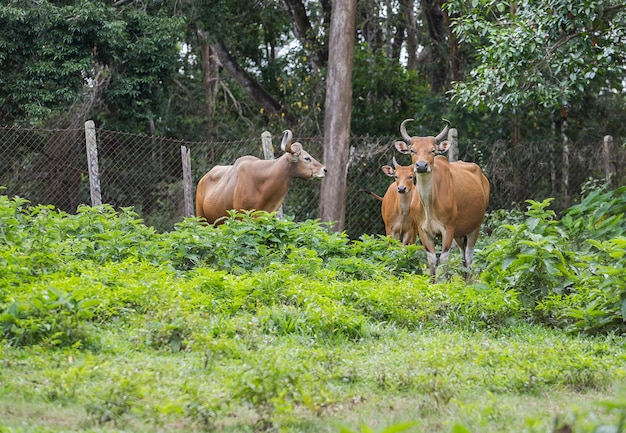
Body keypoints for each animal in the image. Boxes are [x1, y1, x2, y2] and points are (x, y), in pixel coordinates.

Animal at [394, 118, 488, 278]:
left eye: (433, 150)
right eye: (412, 150)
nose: (421, 165)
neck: (429, 204)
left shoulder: (448, 229)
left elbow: (444, 259)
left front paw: (445, 281)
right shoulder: (423, 230)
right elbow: (431, 259)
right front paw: (432, 281)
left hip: (475, 226)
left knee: (469, 256)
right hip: (460, 232)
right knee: (463, 255)